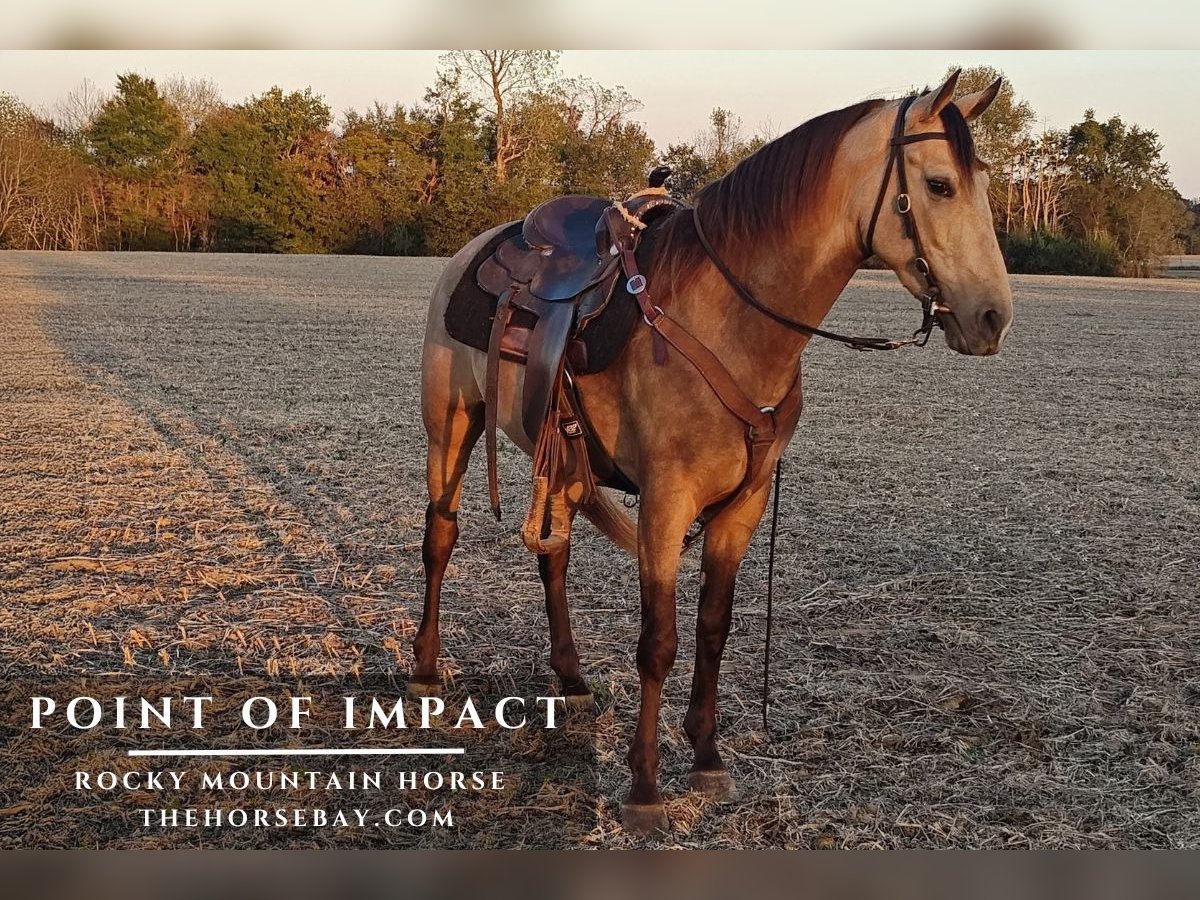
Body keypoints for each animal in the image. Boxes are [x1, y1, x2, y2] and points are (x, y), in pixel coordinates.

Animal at [413, 69, 1013, 836]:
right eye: (940, 184)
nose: (993, 317)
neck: (731, 323)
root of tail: (477, 249)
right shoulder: (667, 505)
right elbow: (659, 642)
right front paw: (644, 786)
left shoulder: (741, 507)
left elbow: (714, 627)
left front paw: (706, 757)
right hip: (452, 428)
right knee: (441, 535)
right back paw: (425, 670)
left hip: (564, 460)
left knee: (553, 552)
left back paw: (570, 678)